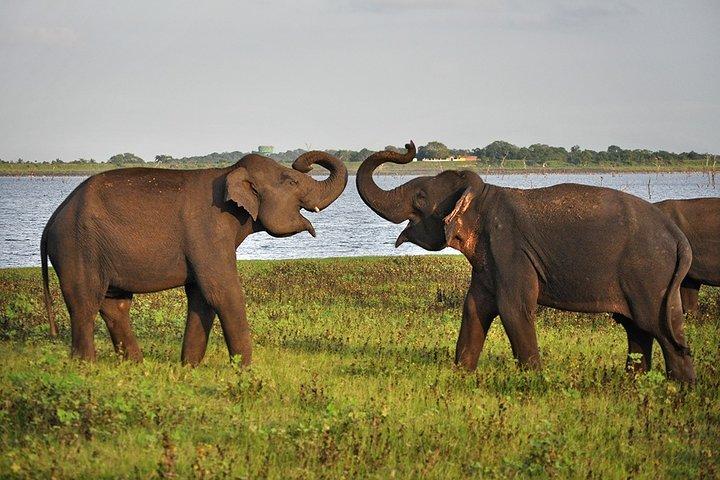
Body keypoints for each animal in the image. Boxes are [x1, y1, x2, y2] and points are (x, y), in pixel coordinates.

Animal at [41, 151, 347, 366]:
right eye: (292, 181)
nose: (302, 164)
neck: (229, 171)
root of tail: (51, 222)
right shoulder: (209, 229)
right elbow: (223, 291)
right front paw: (245, 369)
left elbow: (202, 295)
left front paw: (189, 366)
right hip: (77, 247)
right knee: (85, 303)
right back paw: (86, 365)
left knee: (115, 304)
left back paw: (136, 365)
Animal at [357, 142, 695, 382]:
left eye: (420, 198)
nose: (409, 145)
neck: (484, 193)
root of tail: (678, 237)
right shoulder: (489, 259)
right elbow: (474, 307)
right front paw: (462, 374)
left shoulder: (509, 248)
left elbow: (514, 308)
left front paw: (533, 380)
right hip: (659, 279)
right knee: (648, 327)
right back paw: (651, 384)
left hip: (648, 273)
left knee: (654, 327)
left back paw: (674, 386)